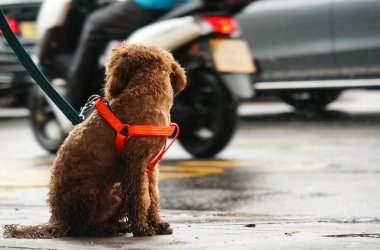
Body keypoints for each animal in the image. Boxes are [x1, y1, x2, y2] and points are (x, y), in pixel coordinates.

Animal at [3, 43, 186, 238]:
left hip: (117, 190)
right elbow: (140, 198)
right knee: (81, 227)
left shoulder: (150, 167)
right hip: (88, 189)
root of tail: (57, 219)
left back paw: (119, 225)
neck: (146, 92)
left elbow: (152, 197)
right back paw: (105, 228)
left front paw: (157, 224)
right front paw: (142, 228)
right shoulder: (134, 165)